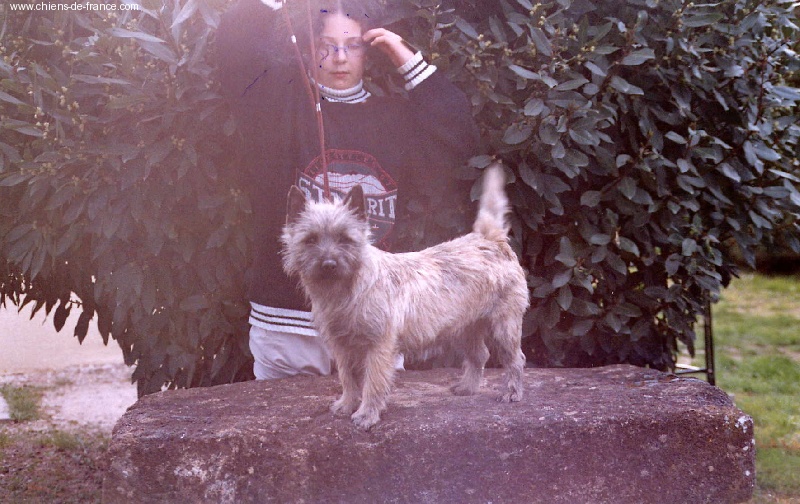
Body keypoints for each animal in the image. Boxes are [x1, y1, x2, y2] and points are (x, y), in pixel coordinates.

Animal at [281, 164, 529, 430]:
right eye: (311, 240)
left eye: (344, 239)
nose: (328, 264)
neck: (345, 292)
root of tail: (489, 238)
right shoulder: (342, 346)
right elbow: (347, 377)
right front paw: (346, 404)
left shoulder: (378, 346)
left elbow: (373, 382)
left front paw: (366, 414)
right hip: (464, 327)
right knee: (480, 354)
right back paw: (467, 387)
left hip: (504, 326)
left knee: (515, 358)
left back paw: (512, 392)